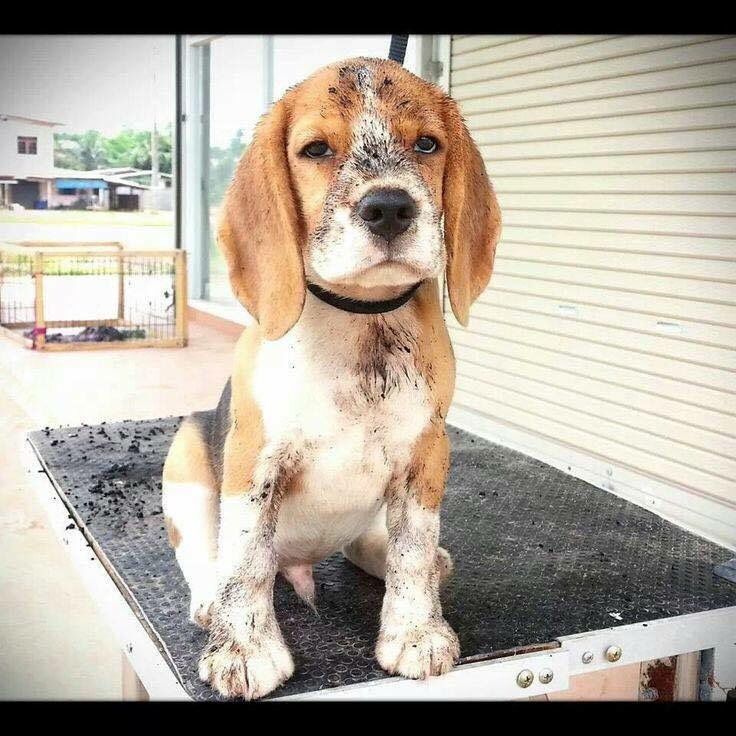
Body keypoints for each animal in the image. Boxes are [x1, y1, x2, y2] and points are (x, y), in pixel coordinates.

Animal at [162, 54, 500, 700]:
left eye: (426, 144)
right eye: (315, 150)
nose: (389, 207)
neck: (358, 318)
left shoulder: (427, 453)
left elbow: (412, 548)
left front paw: (415, 632)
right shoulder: (254, 458)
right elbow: (246, 559)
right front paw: (245, 650)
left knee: (381, 545)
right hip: (185, 462)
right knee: (208, 554)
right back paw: (211, 600)